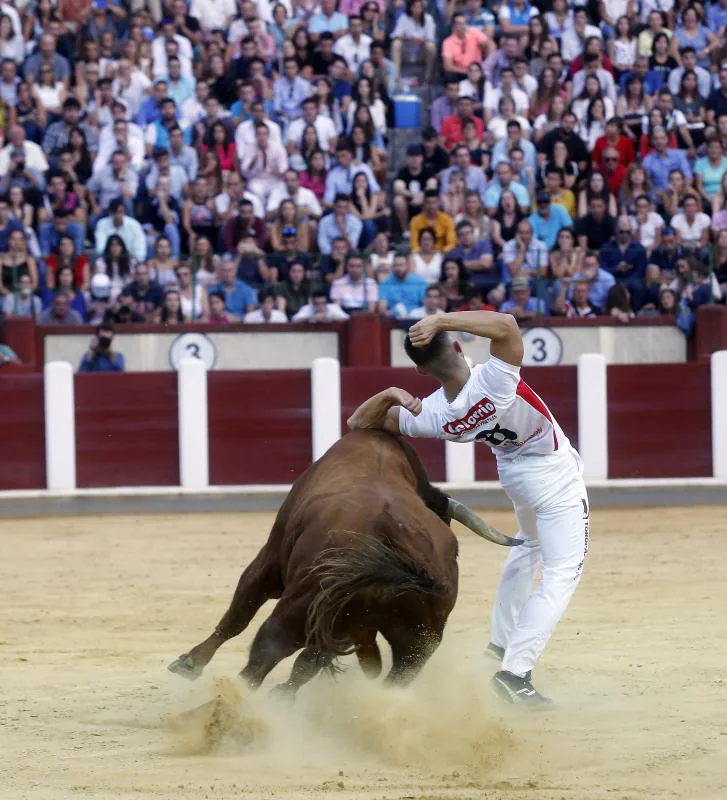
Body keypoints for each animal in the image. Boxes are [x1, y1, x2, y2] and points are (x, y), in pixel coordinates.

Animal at [168, 428, 516, 696]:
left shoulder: (270, 562)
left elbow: (237, 616)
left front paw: (189, 662)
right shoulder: (349, 624)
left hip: (302, 604)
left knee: (266, 653)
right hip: (417, 643)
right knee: (376, 674)